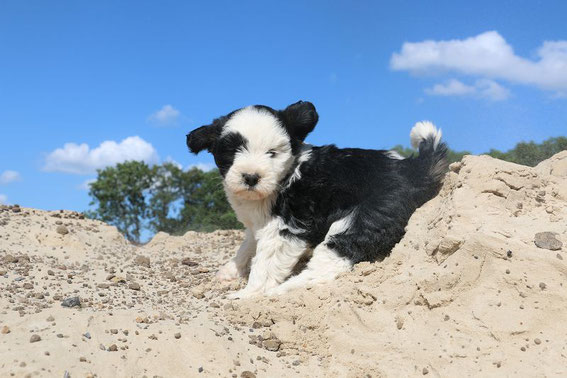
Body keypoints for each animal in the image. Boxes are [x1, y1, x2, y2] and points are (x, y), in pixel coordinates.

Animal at [186, 101, 448, 298]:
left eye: (272, 153)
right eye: (232, 151)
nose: (251, 177)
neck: (286, 174)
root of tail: (412, 169)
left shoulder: (285, 227)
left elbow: (265, 262)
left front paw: (250, 293)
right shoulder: (258, 223)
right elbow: (248, 245)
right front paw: (231, 270)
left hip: (367, 216)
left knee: (334, 257)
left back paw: (287, 288)